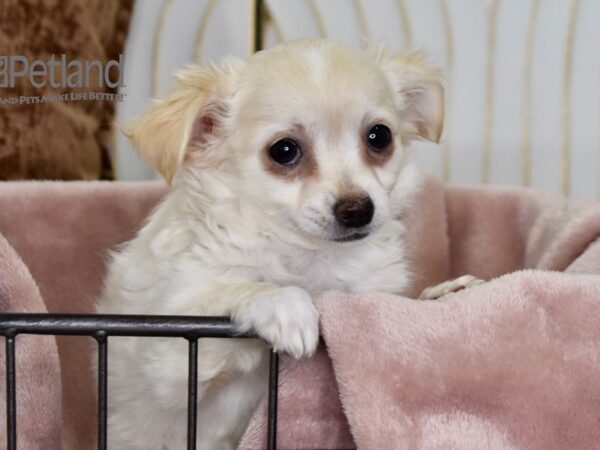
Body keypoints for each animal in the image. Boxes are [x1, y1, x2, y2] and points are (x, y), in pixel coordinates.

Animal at [97, 39, 446, 450]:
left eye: (379, 137)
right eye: (284, 151)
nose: (357, 209)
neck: (307, 255)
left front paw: (442, 292)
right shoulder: (167, 362)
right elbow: (238, 288)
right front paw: (285, 303)